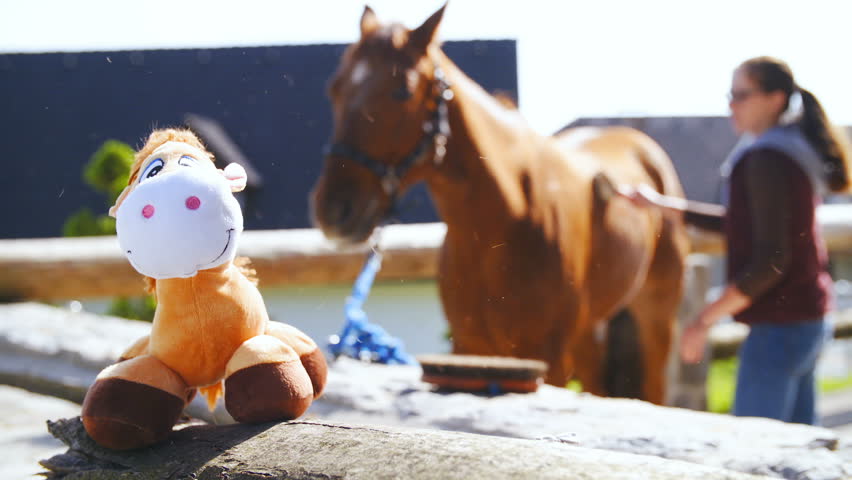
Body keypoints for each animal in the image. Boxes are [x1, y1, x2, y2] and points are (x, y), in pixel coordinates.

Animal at [310, 5, 689, 403]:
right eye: (334, 89)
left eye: (402, 91)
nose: (334, 210)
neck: (503, 225)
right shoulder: (469, 347)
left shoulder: (547, 359)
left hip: (656, 316)